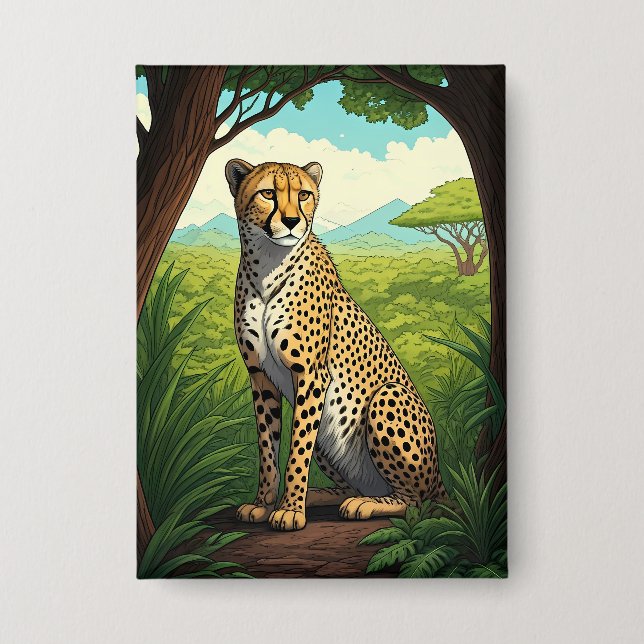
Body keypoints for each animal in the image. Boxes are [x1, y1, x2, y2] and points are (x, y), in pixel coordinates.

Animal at [225, 158, 447, 531]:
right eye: (268, 193)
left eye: (303, 195)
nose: (291, 221)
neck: (269, 263)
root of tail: (441, 477)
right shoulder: (260, 376)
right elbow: (268, 449)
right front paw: (263, 504)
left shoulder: (311, 376)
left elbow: (297, 450)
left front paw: (290, 510)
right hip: (330, 437)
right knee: (352, 485)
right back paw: (318, 495)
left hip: (386, 397)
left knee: (416, 502)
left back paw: (363, 504)